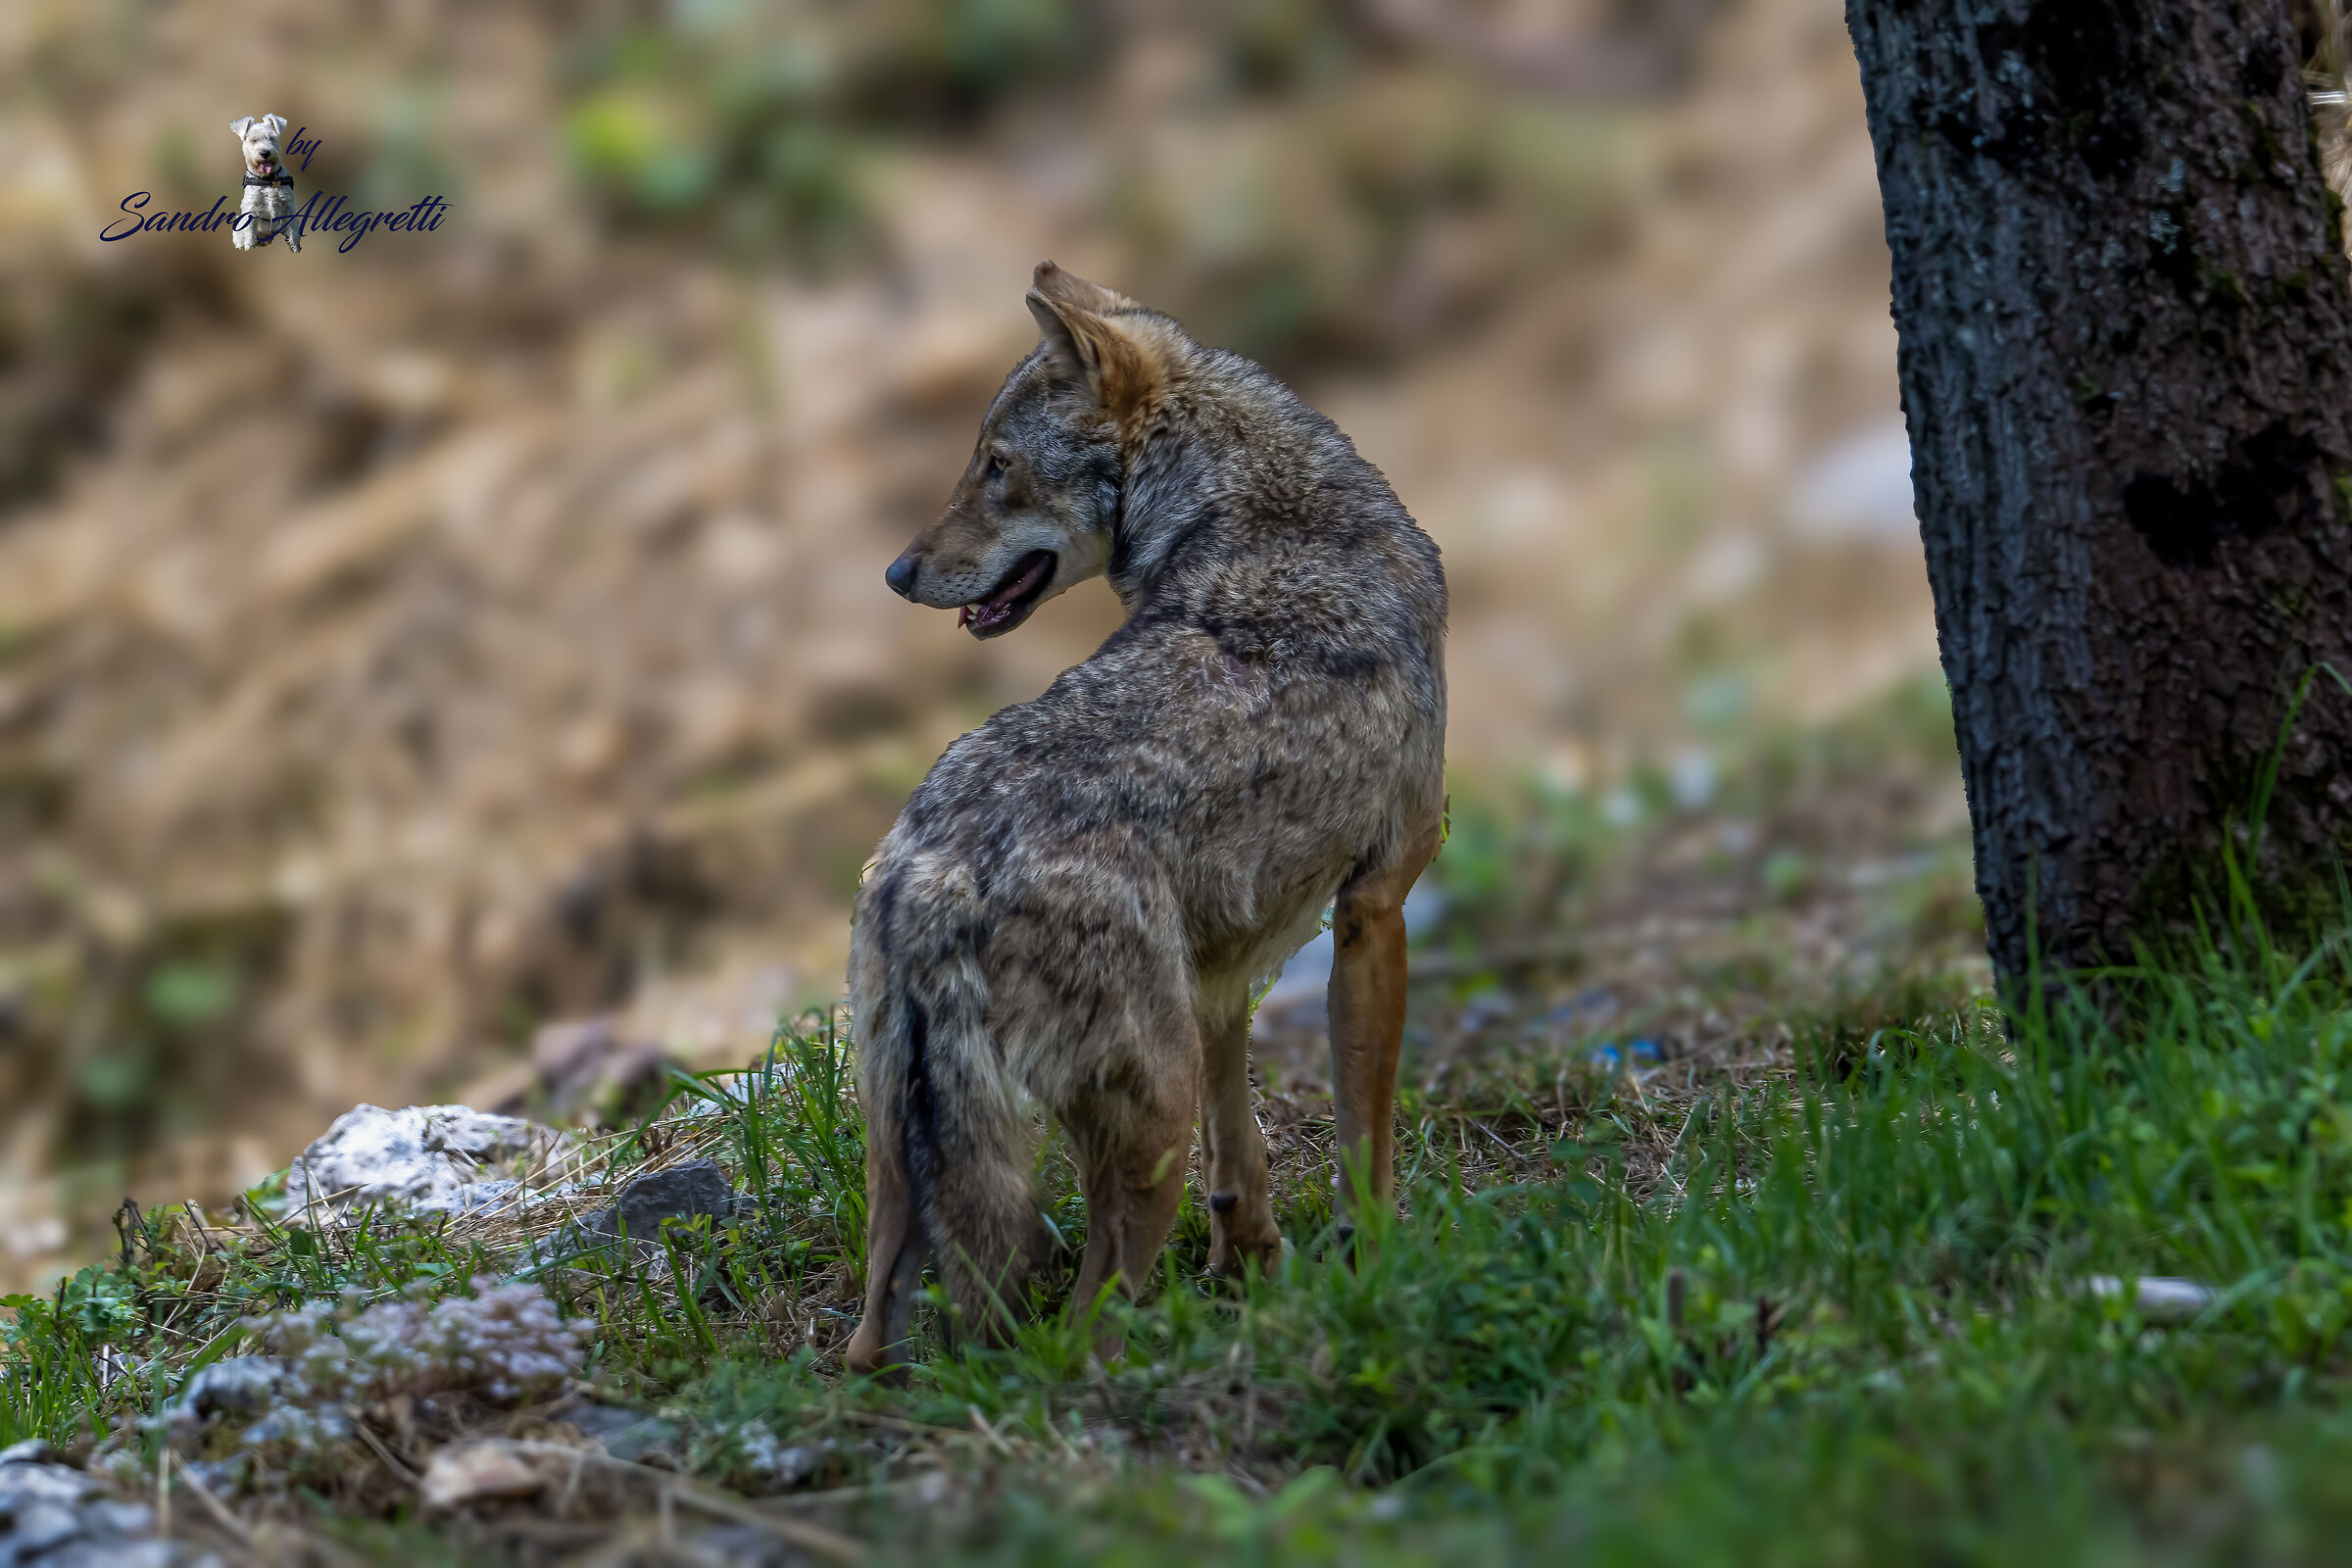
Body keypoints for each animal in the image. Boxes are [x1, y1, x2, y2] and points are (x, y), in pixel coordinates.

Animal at [230, 115, 301, 252]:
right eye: (253, 140)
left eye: (271, 138)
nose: (265, 153)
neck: (267, 179)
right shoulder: (251, 207)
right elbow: (249, 230)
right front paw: (249, 245)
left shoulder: (289, 205)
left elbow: (293, 228)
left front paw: (295, 246)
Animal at [842, 263, 1447, 1376]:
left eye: (996, 467)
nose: (897, 575)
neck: (1257, 513)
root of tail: (934, 877)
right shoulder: (1376, 909)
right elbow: (1366, 1143)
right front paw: (1379, 1266)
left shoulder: (1216, 976)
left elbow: (1240, 1155)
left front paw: (1254, 1263)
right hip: (1142, 1123)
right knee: (1080, 1331)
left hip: (902, 1166)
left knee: (871, 1341)